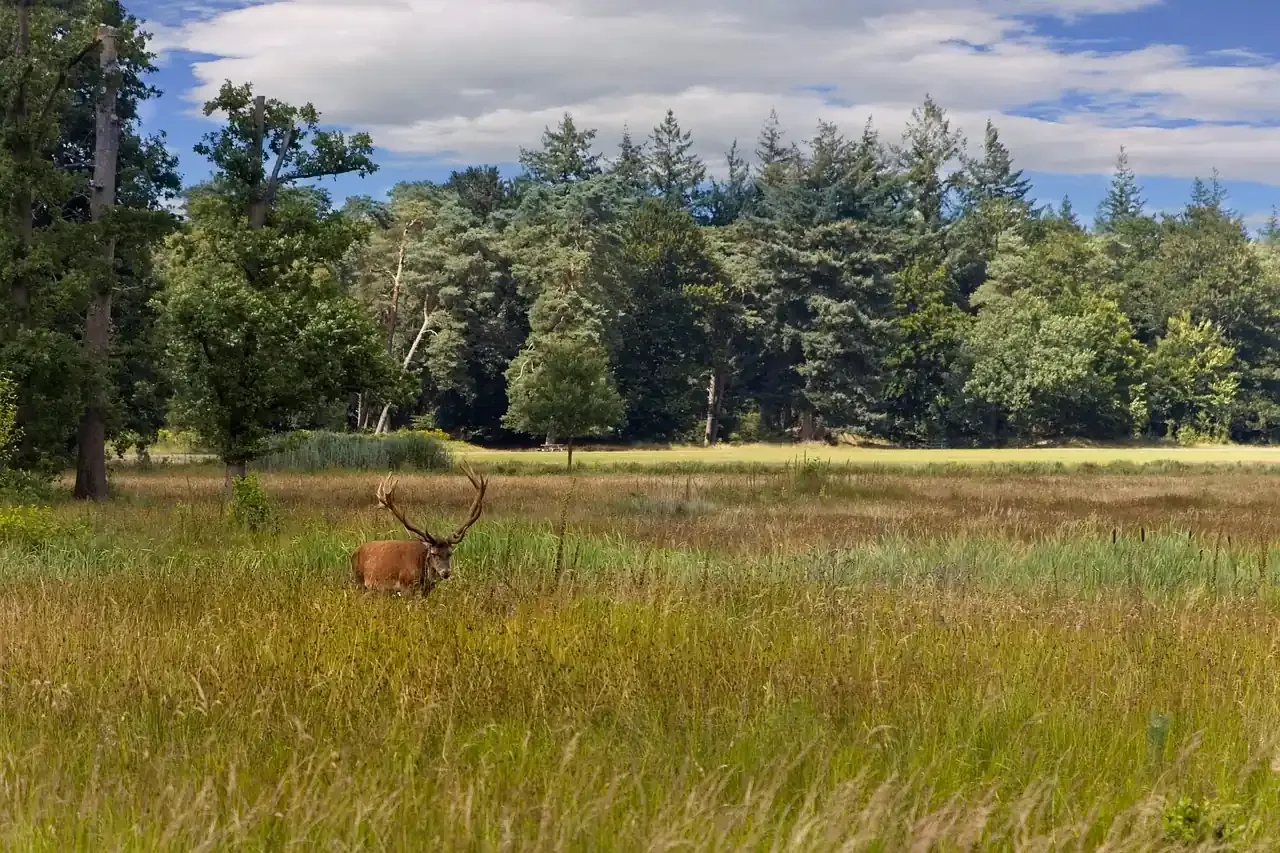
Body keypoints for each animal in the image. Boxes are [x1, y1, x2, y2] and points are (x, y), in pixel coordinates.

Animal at [351, 462, 488, 595]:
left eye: (450, 553)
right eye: (434, 553)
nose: (446, 572)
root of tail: (355, 551)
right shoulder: (405, 586)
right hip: (359, 581)